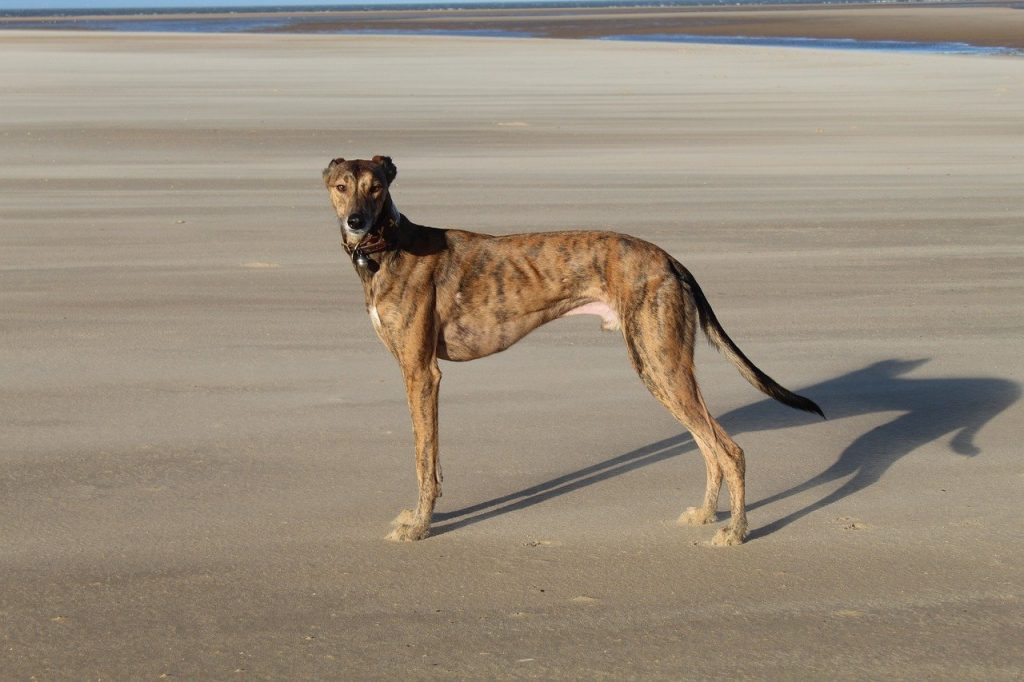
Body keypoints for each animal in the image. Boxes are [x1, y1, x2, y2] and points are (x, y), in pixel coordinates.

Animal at [323, 155, 827, 548]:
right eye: (341, 187)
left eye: (376, 187)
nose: (356, 223)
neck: (388, 247)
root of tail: (670, 260)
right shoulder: (419, 374)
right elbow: (432, 459)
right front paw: (418, 518)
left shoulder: (421, 373)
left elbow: (423, 459)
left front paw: (419, 528)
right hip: (660, 367)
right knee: (708, 446)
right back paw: (705, 517)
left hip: (660, 362)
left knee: (729, 450)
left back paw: (736, 532)